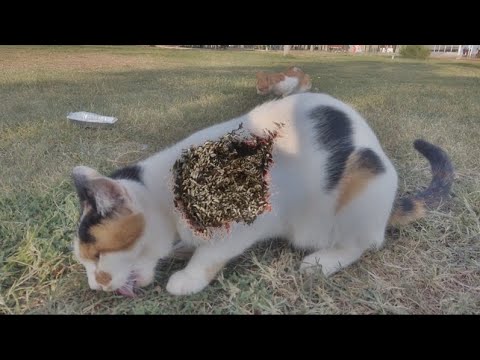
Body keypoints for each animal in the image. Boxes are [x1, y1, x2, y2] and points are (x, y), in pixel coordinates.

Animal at [71, 92, 454, 296]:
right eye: (86, 262)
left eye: (99, 256)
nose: (95, 286)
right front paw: (183, 248)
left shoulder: (250, 217)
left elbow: (213, 253)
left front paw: (190, 276)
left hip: (365, 177)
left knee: (363, 243)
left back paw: (325, 260)